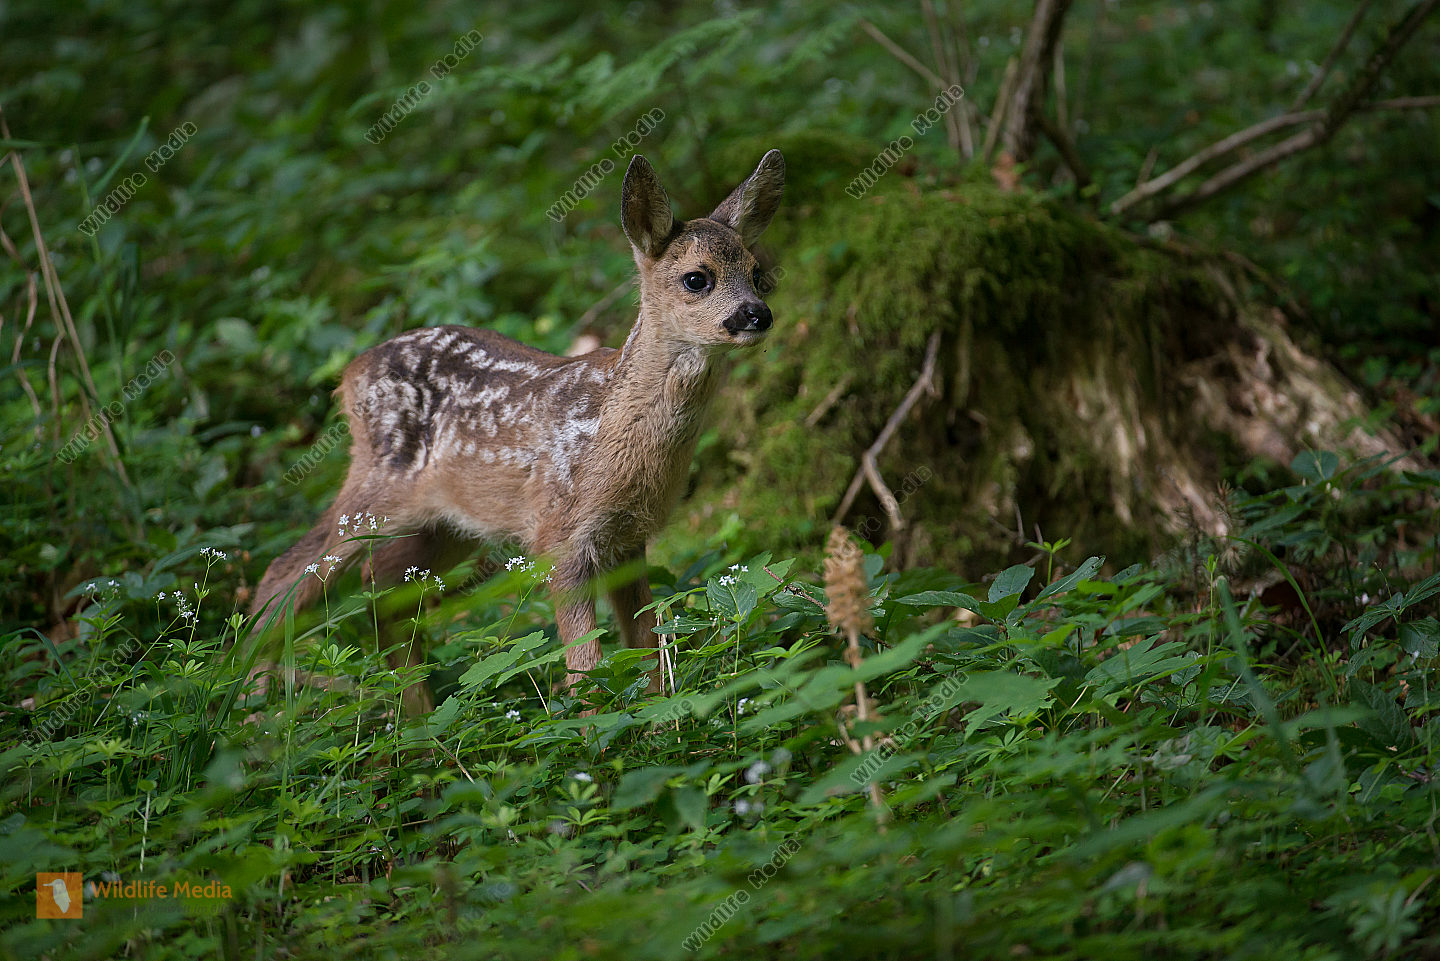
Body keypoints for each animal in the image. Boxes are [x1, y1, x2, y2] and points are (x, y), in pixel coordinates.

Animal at [249, 149, 785, 715]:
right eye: (697, 278)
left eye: (756, 273)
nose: (757, 314)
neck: (611, 436)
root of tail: (348, 374)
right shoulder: (558, 534)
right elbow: (585, 666)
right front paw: (593, 728)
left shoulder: (626, 538)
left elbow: (642, 644)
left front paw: (654, 719)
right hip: (379, 488)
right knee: (287, 570)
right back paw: (252, 705)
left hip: (446, 524)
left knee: (386, 589)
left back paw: (416, 719)